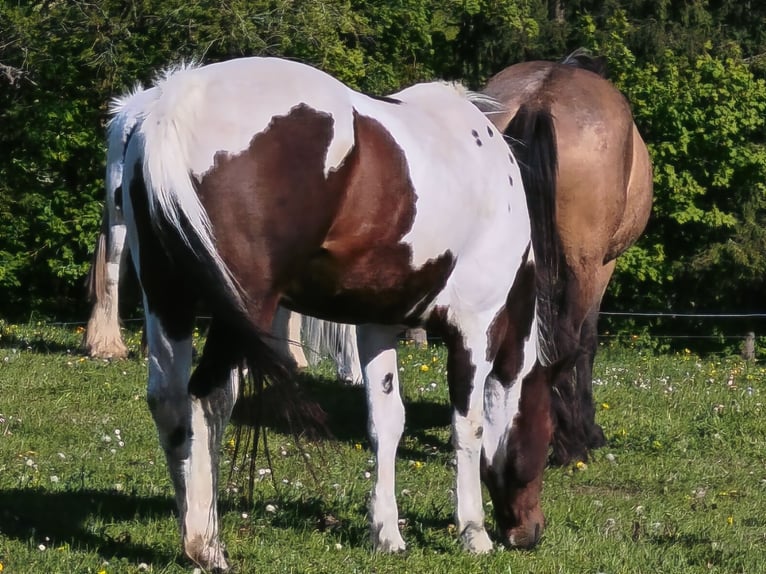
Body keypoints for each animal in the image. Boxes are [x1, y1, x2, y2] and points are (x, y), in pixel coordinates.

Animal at [81, 86, 361, 383]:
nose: (354, 377)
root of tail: (131, 106)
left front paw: (289, 356)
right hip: (121, 221)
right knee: (113, 275)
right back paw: (107, 347)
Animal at [119, 56, 557, 571]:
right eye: (547, 436)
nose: (531, 533)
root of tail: (177, 99)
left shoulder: (378, 326)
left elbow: (387, 423)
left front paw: (386, 533)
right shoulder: (475, 327)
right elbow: (468, 427)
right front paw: (473, 531)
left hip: (166, 298)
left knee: (167, 400)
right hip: (237, 310)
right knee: (209, 399)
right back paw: (206, 544)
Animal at [480, 51, 654, 465]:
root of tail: (538, 99)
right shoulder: (601, 266)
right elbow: (587, 342)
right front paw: (590, 429)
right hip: (583, 267)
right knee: (564, 341)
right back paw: (571, 442)